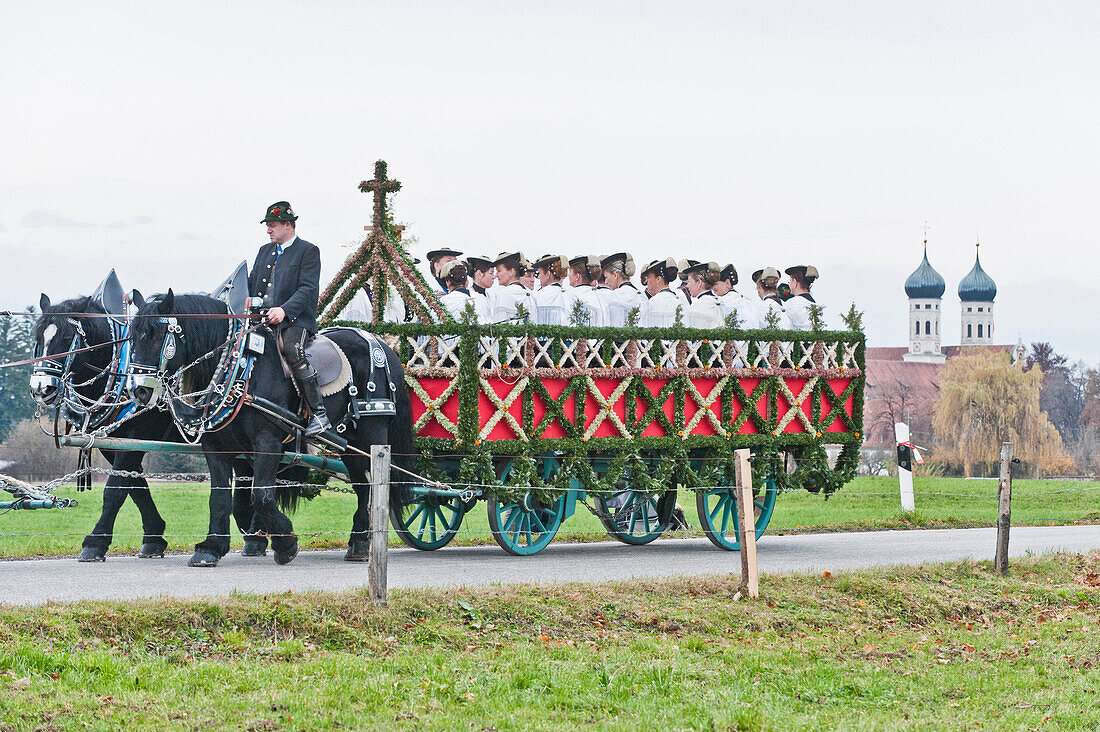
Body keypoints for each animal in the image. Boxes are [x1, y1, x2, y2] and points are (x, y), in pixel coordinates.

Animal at [125, 290, 415, 563]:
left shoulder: (267, 442)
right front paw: (211, 548)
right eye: (133, 338)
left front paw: (285, 543)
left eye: (157, 335)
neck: (243, 369)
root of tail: (381, 345)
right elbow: (218, 497)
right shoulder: (216, 446)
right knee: (362, 484)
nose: (139, 391)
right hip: (349, 443)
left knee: (373, 482)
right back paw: (358, 542)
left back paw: (361, 543)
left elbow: (262, 495)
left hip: (371, 433)